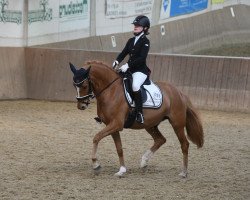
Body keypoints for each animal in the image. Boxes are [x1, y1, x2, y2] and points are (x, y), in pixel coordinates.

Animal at [69, 60, 203, 177]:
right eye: (74, 85)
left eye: (84, 85)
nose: (81, 106)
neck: (110, 90)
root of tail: (179, 93)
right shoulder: (112, 126)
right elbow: (119, 148)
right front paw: (122, 170)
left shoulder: (116, 124)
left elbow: (96, 137)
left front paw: (96, 165)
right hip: (150, 125)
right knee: (160, 140)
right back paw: (144, 162)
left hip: (177, 124)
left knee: (184, 144)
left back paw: (184, 172)